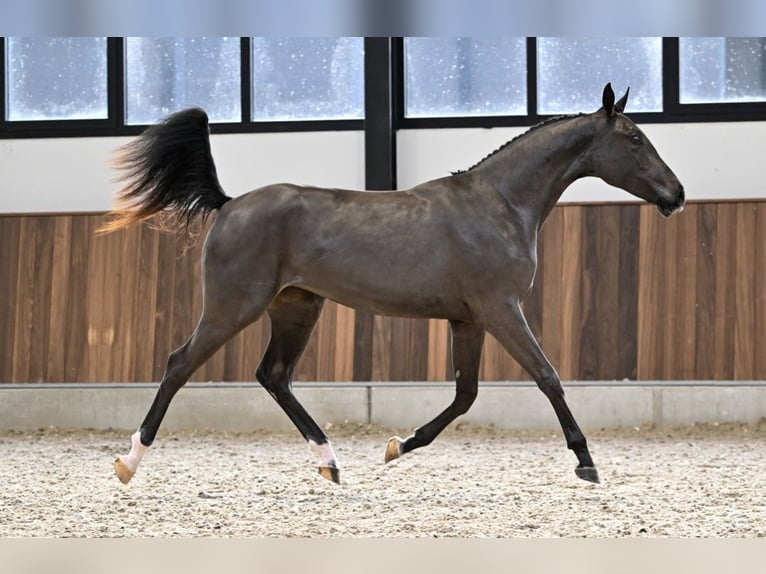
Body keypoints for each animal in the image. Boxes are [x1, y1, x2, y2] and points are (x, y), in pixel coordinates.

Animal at [103, 83, 685, 487]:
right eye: (635, 139)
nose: (676, 195)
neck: (499, 204)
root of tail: (229, 205)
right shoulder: (500, 309)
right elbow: (547, 377)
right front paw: (586, 462)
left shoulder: (468, 318)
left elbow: (466, 395)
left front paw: (397, 446)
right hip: (232, 307)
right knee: (179, 364)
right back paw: (129, 462)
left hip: (297, 307)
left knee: (274, 375)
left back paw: (330, 463)